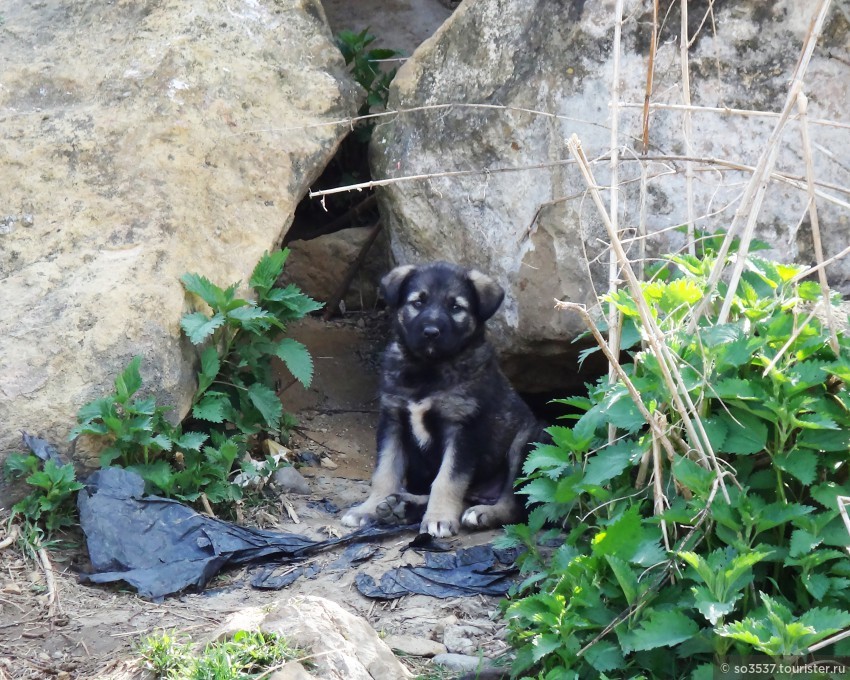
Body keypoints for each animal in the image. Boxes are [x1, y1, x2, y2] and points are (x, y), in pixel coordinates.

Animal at [340, 260, 544, 536]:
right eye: (418, 302)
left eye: (455, 307)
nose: (430, 332)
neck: (428, 370)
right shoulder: (392, 420)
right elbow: (384, 471)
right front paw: (368, 509)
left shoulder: (462, 428)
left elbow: (447, 479)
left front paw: (439, 518)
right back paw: (403, 506)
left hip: (527, 443)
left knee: (515, 504)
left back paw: (482, 513)